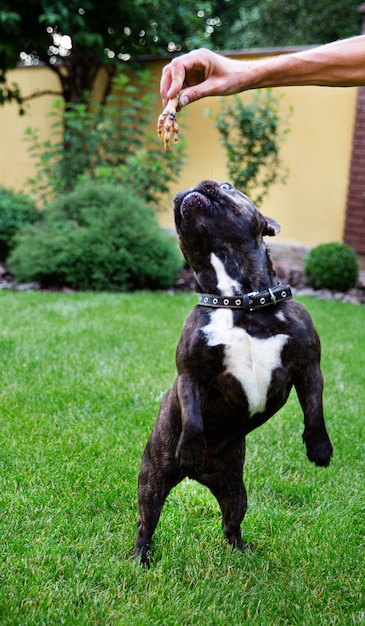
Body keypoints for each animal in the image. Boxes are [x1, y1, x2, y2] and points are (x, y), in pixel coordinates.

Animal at [132, 177, 332, 564]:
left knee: (231, 521)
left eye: (228, 186)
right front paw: (189, 448)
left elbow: (314, 411)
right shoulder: (190, 374)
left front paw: (319, 449)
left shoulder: (308, 366)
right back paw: (139, 558)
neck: (241, 301)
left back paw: (242, 552)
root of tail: (201, 477)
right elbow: (193, 419)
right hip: (153, 478)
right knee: (146, 521)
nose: (195, 185)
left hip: (235, 489)